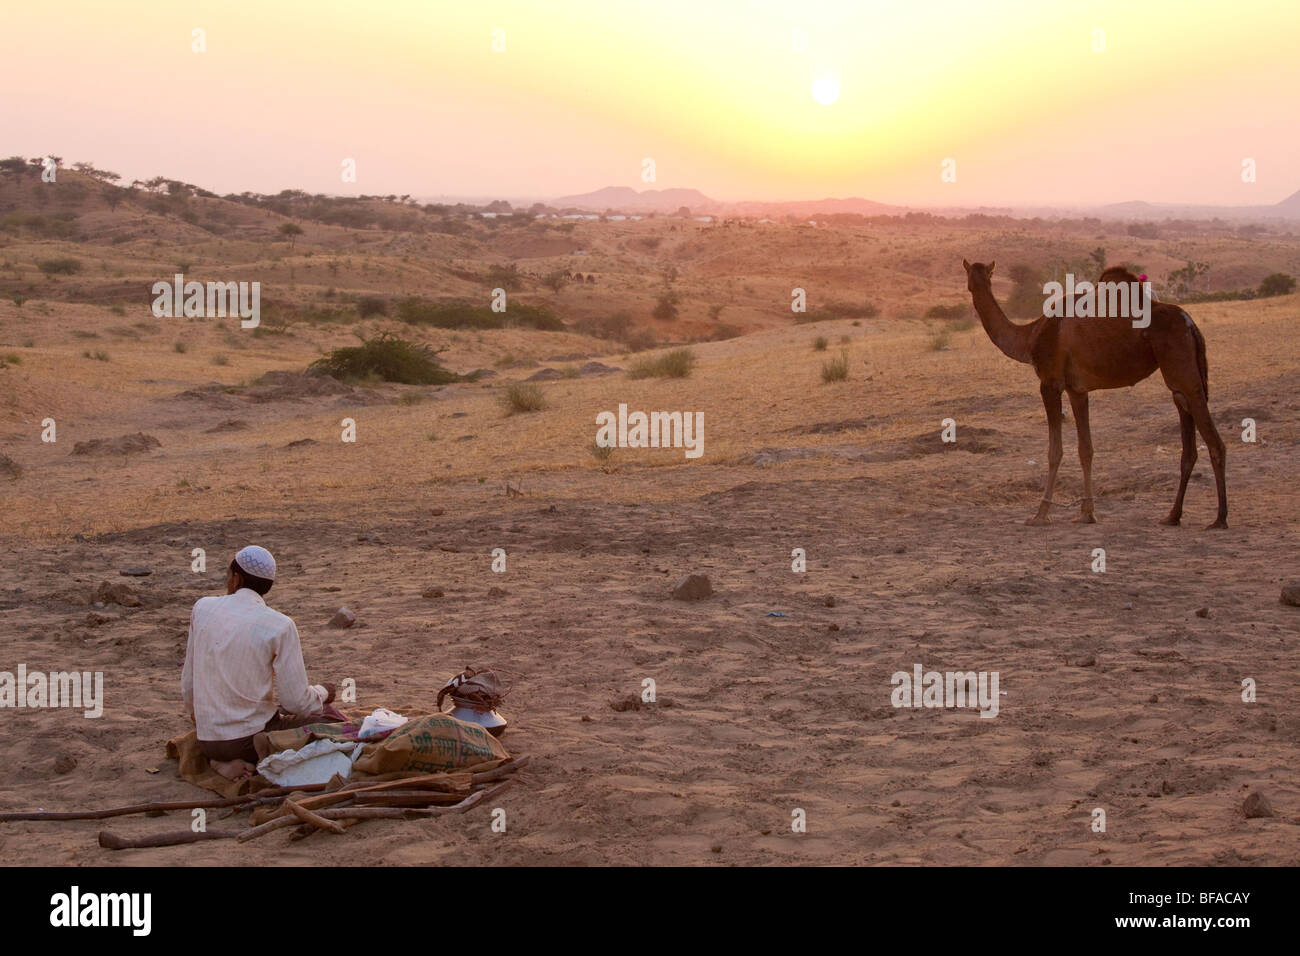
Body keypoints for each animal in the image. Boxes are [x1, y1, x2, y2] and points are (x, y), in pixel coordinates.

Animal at [962, 260, 1227, 528]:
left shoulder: (1049, 382)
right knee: (1186, 427)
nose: (973, 285)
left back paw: (1219, 518)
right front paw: (1087, 513)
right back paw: (1172, 516)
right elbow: (1085, 449)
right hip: (1180, 376)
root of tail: (1191, 325)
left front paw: (1040, 513)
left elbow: (1054, 451)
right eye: (974, 274)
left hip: (1181, 365)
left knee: (1214, 440)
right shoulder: (1077, 390)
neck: (1030, 336)